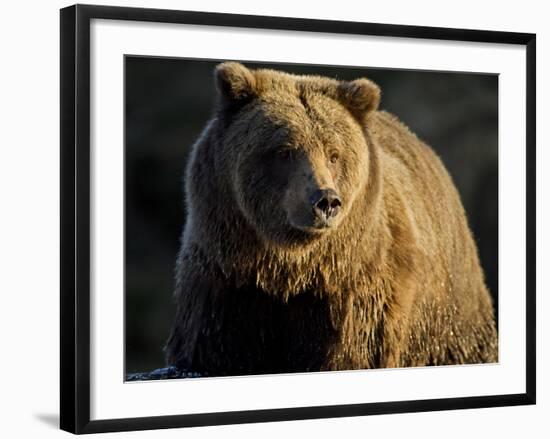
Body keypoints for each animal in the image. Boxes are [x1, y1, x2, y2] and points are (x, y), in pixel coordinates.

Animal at [164, 62, 500, 378]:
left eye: (334, 153)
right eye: (284, 151)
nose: (326, 200)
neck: (290, 267)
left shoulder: (355, 291)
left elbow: (350, 352)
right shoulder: (227, 277)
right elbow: (216, 346)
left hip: (447, 314)